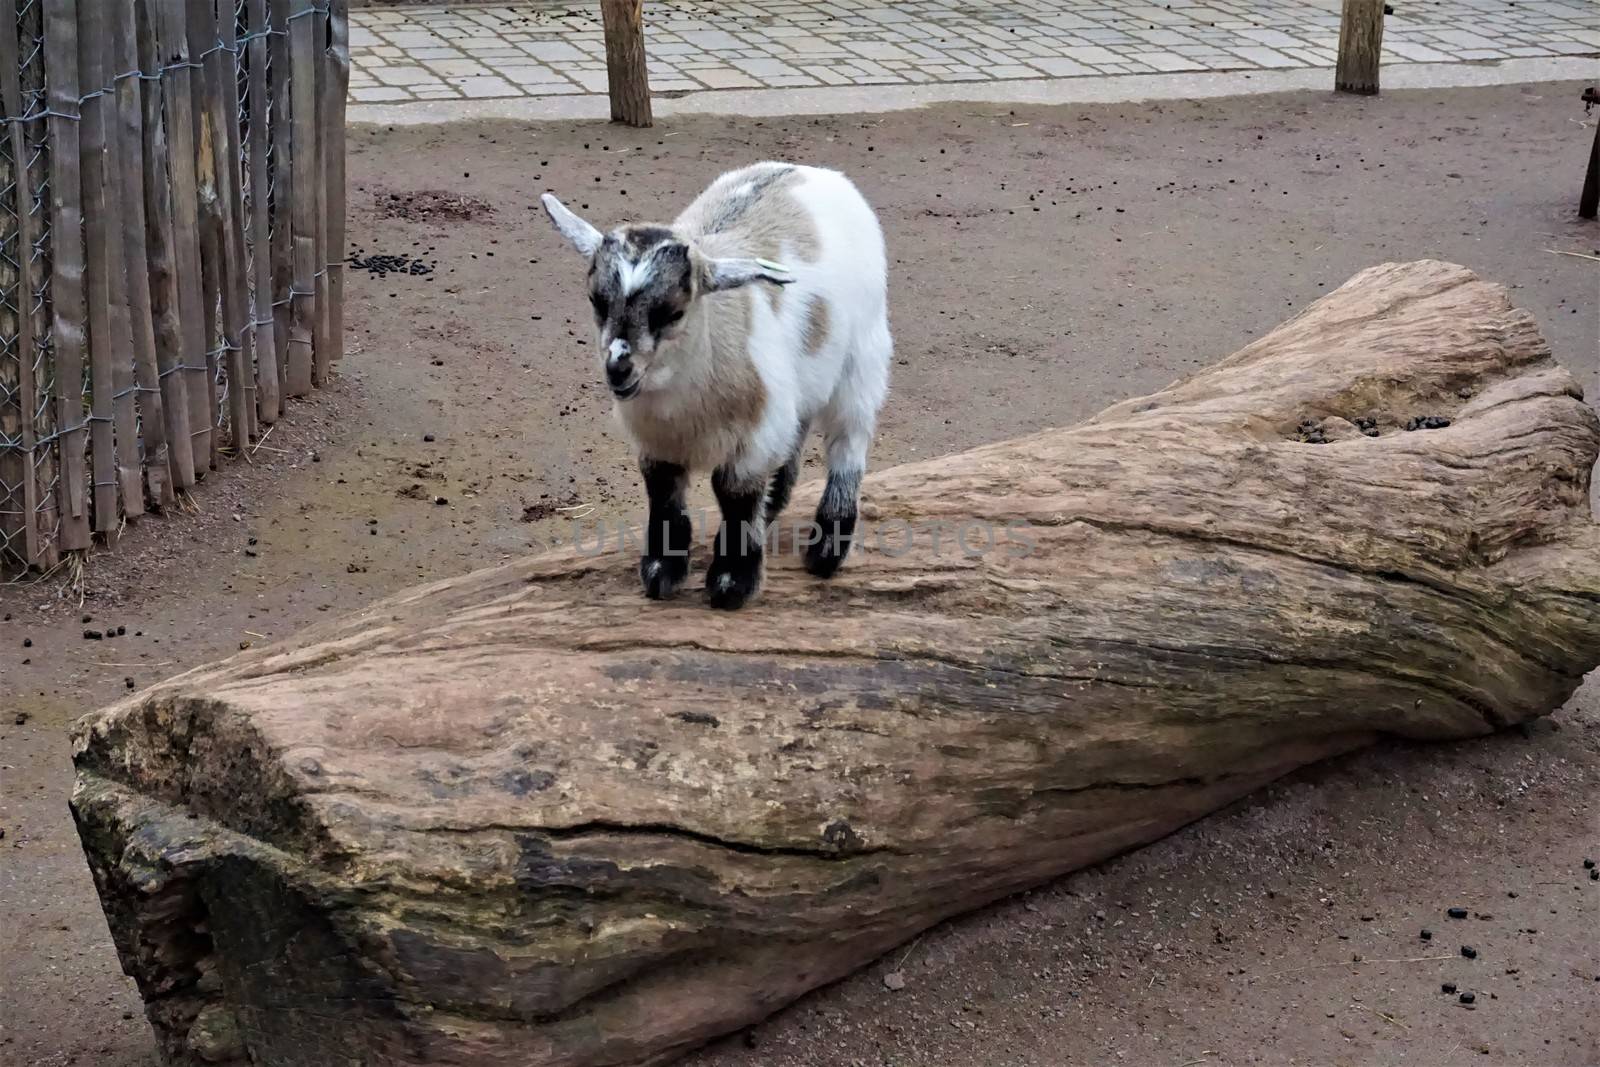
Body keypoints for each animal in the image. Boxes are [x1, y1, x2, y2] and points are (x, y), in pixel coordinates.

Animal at [544, 160, 896, 607]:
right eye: (597, 301)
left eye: (673, 313)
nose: (619, 368)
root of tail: (811, 170)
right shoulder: (657, 443)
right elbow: (663, 492)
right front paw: (661, 571)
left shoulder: (753, 437)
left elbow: (733, 492)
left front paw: (733, 582)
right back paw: (777, 503)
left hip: (863, 354)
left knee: (849, 441)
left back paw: (827, 551)